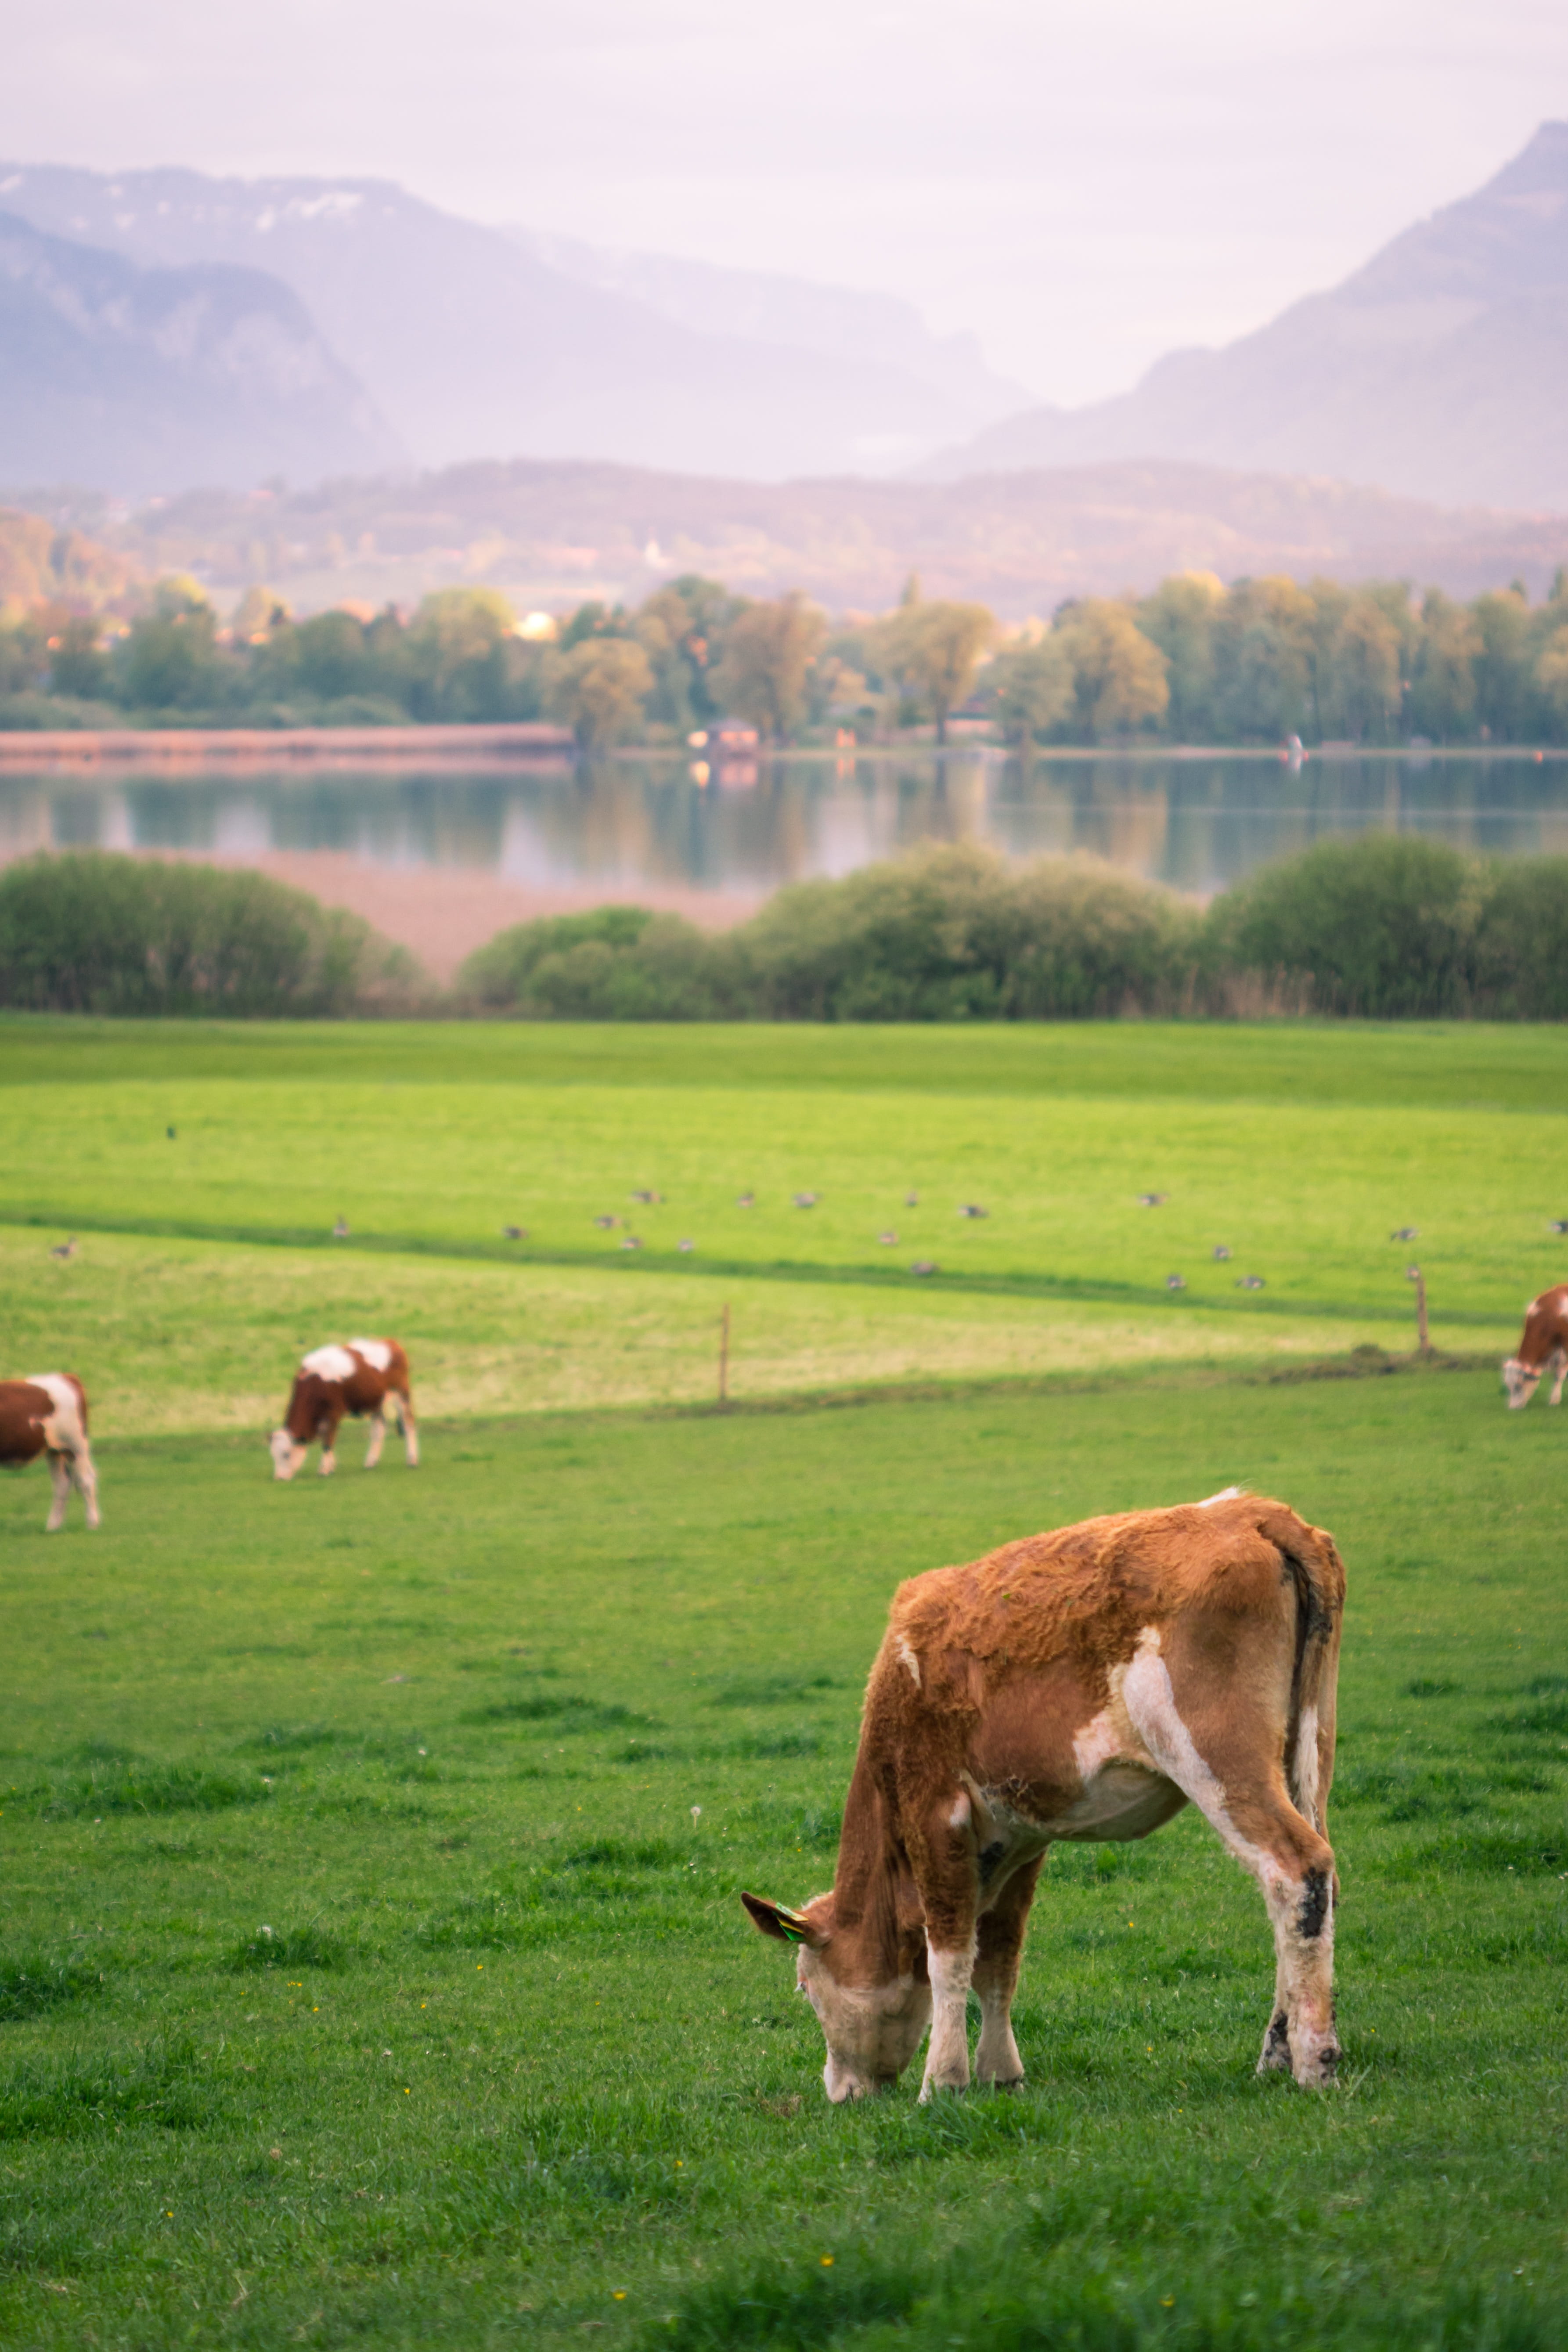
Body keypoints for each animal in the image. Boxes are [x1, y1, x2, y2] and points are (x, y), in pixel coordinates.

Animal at [0, 1374, 100, 1532]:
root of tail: (68, 1376)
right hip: (55, 1450)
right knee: (62, 1483)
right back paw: (53, 1527)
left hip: (75, 1446)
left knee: (86, 1481)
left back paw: (92, 1524)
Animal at [269, 1340, 418, 1480]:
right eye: (273, 1455)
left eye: (286, 1454)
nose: (279, 1478)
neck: (315, 1381)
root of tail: (391, 1342)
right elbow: (326, 1438)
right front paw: (331, 1466)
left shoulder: (334, 1412)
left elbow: (328, 1441)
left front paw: (324, 1470)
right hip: (376, 1401)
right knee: (379, 1429)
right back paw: (371, 1462)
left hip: (401, 1392)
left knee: (408, 1423)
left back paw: (412, 1460)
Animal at [742, 1488, 1344, 2104]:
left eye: (805, 1985)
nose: (837, 2089)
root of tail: (1250, 1511)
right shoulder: (1020, 1835)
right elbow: (999, 1956)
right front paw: (1000, 2071)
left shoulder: (935, 1813)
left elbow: (949, 1955)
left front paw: (942, 2081)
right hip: (1308, 1751)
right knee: (1311, 1891)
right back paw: (1276, 2052)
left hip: (1217, 1758)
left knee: (1295, 1869)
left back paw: (1313, 2061)